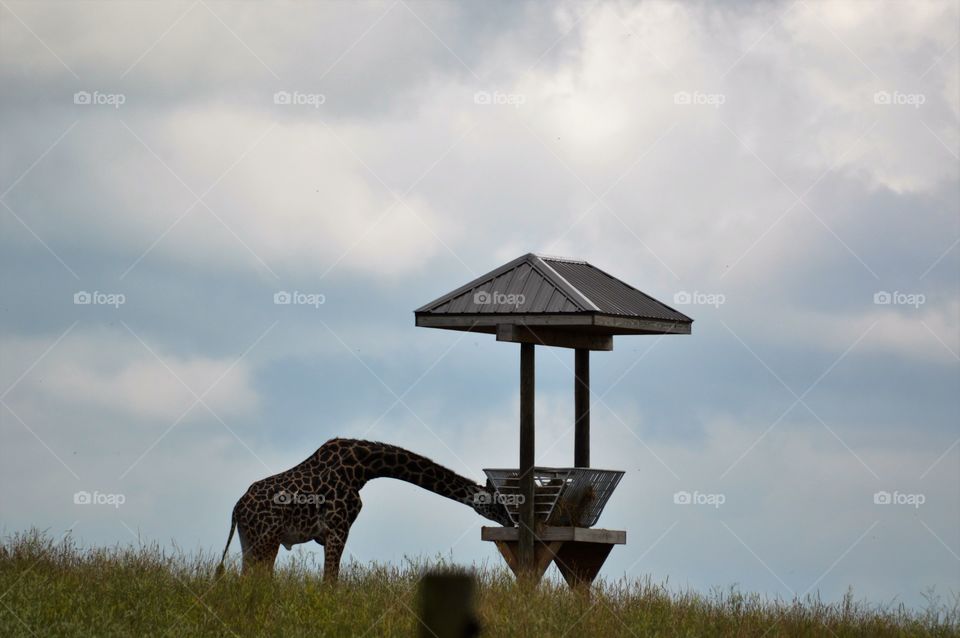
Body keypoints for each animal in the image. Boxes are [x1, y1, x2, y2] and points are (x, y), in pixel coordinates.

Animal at [216, 438, 514, 581]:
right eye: (499, 504)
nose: (512, 523)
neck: (364, 468)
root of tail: (236, 509)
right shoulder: (338, 529)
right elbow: (330, 582)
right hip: (267, 538)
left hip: (250, 539)